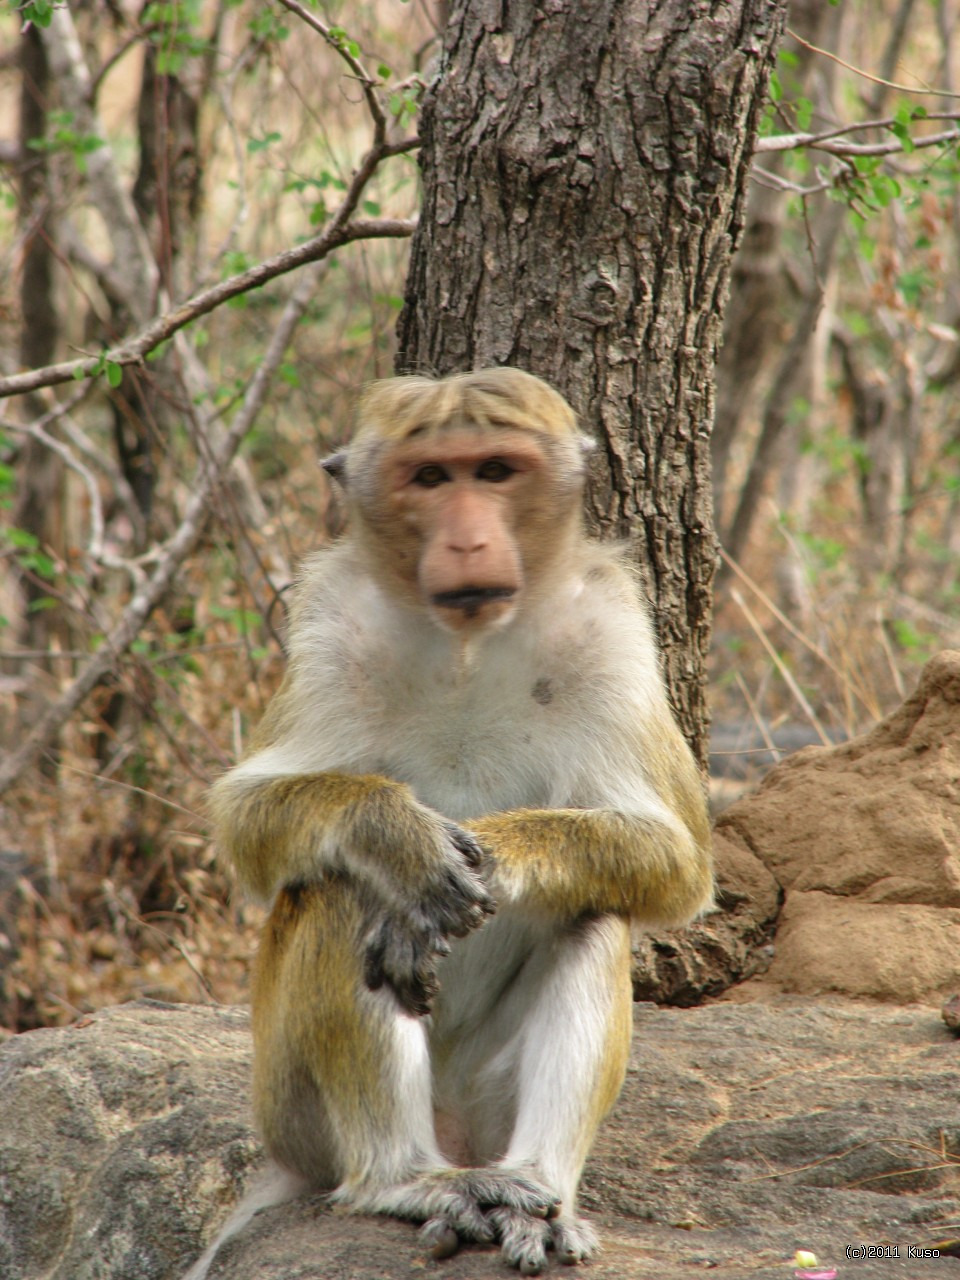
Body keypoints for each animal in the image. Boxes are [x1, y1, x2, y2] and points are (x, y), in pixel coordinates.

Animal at [189, 366, 716, 1274]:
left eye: (495, 470)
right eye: (432, 477)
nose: (468, 542)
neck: (468, 638)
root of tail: (462, 1138)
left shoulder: (615, 629)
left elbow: (674, 860)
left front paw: (498, 856)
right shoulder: (328, 622)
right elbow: (246, 816)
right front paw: (400, 840)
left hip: (485, 1101)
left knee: (595, 909)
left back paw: (538, 1188)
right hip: (287, 1111)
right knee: (339, 890)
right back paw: (406, 1178)